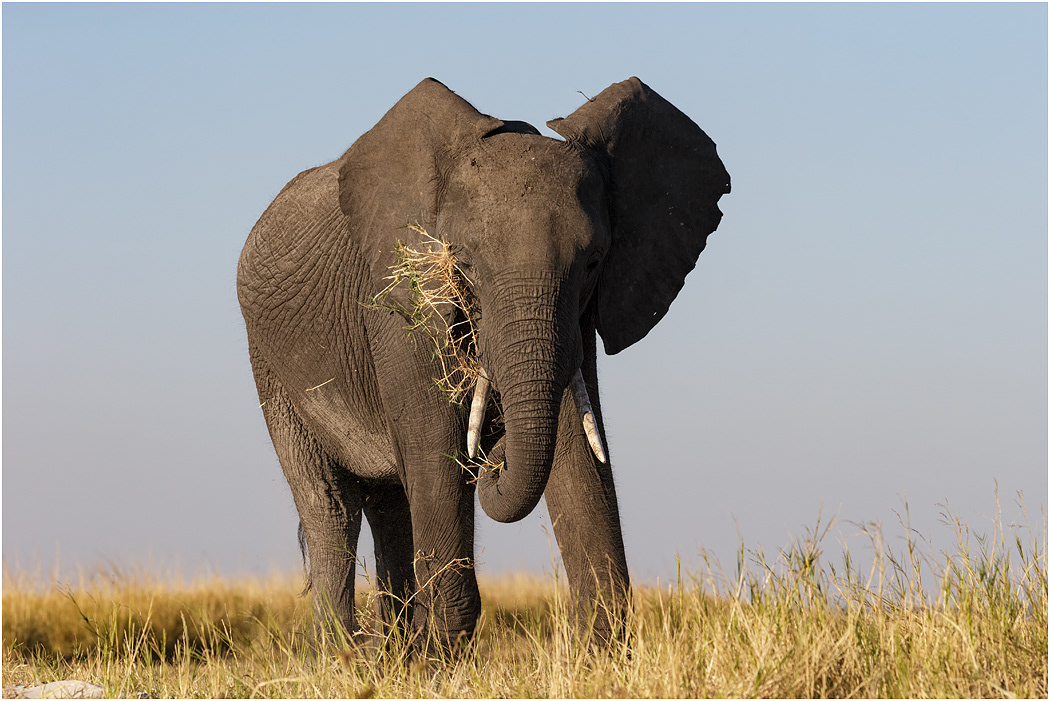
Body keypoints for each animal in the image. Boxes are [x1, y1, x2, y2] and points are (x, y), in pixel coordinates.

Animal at [237, 77, 730, 651]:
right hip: (270, 366)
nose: (494, 457)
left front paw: (599, 653)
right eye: (465, 263)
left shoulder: (576, 319)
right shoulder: (398, 307)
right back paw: (345, 657)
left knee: (390, 506)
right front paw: (441, 658)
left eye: (593, 262)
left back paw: (392, 654)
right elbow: (435, 447)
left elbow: (575, 447)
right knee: (331, 508)